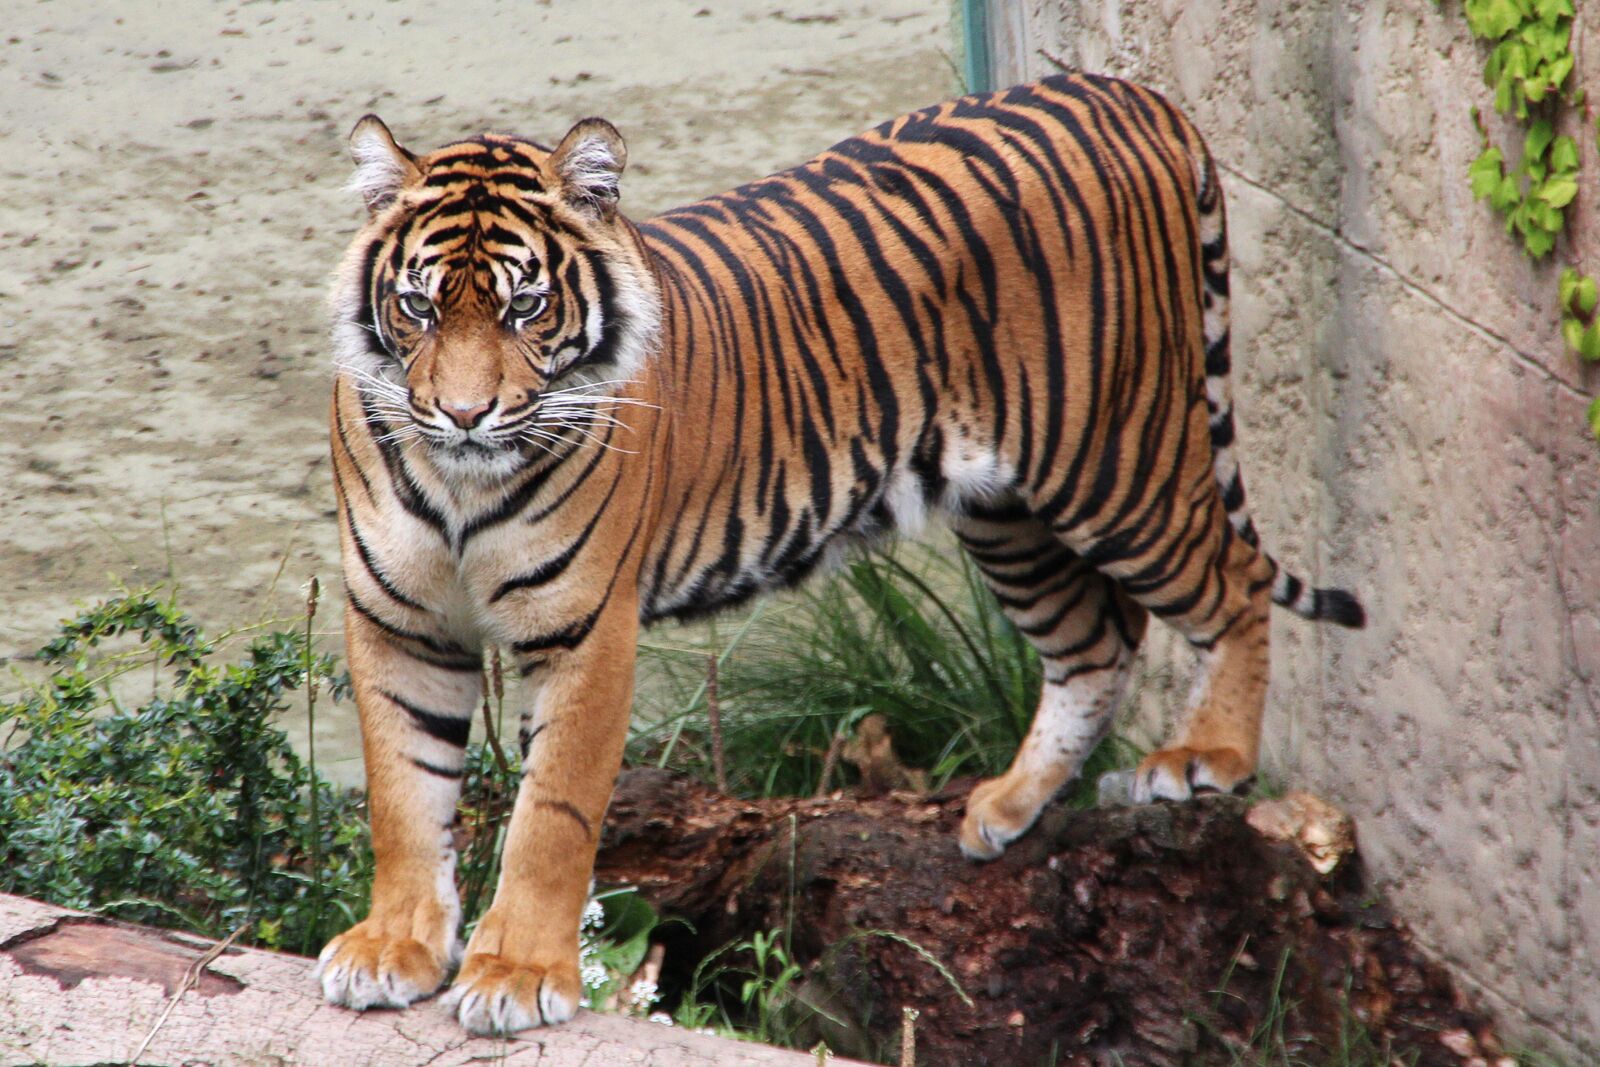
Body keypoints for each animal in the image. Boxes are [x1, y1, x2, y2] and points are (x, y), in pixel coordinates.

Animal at [314, 71, 1365, 1036]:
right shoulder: (398, 622)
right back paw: (1006, 808)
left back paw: (1206, 757)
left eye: (526, 308)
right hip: (1005, 511)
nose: (462, 412)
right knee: (1097, 643)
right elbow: (403, 796)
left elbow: (551, 815)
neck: (461, 484)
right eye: (419, 308)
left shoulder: (584, 633)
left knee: (1231, 583)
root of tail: (1122, 87)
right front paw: (393, 948)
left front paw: (520, 973)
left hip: (1115, 458)